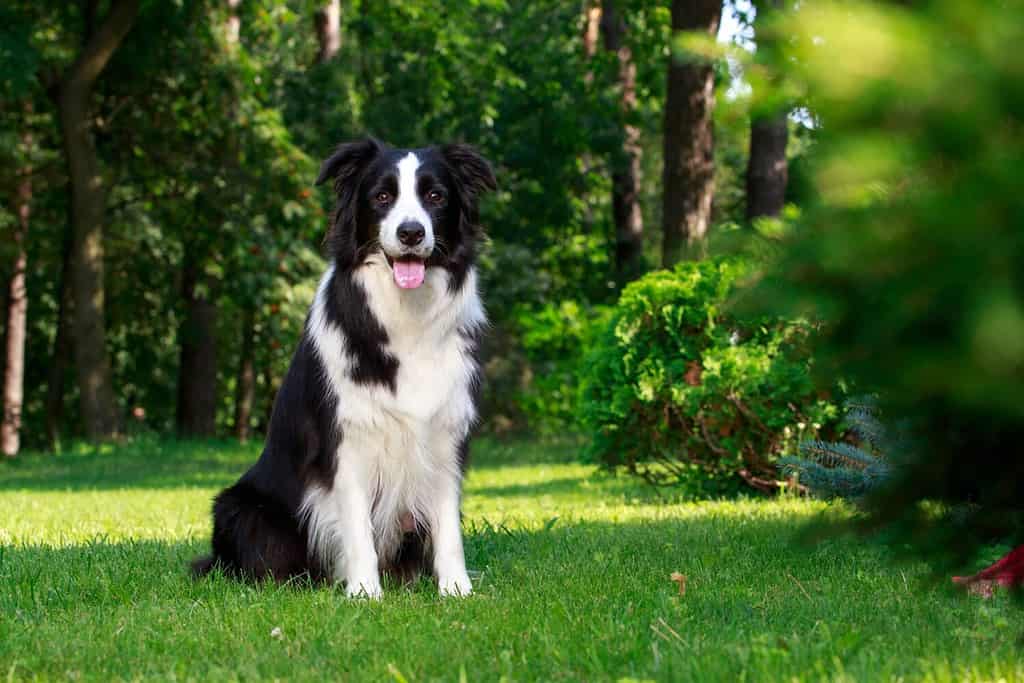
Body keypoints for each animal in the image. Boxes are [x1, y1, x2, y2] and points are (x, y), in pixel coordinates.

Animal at [193, 139, 497, 598]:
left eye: (435, 196)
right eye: (383, 196)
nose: (411, 233)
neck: (406, 316)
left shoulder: (446, 432)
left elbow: (448, 526)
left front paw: (456, 589)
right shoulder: (347, 439)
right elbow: (357, 526)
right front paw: (365, 593)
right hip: (241, 508)